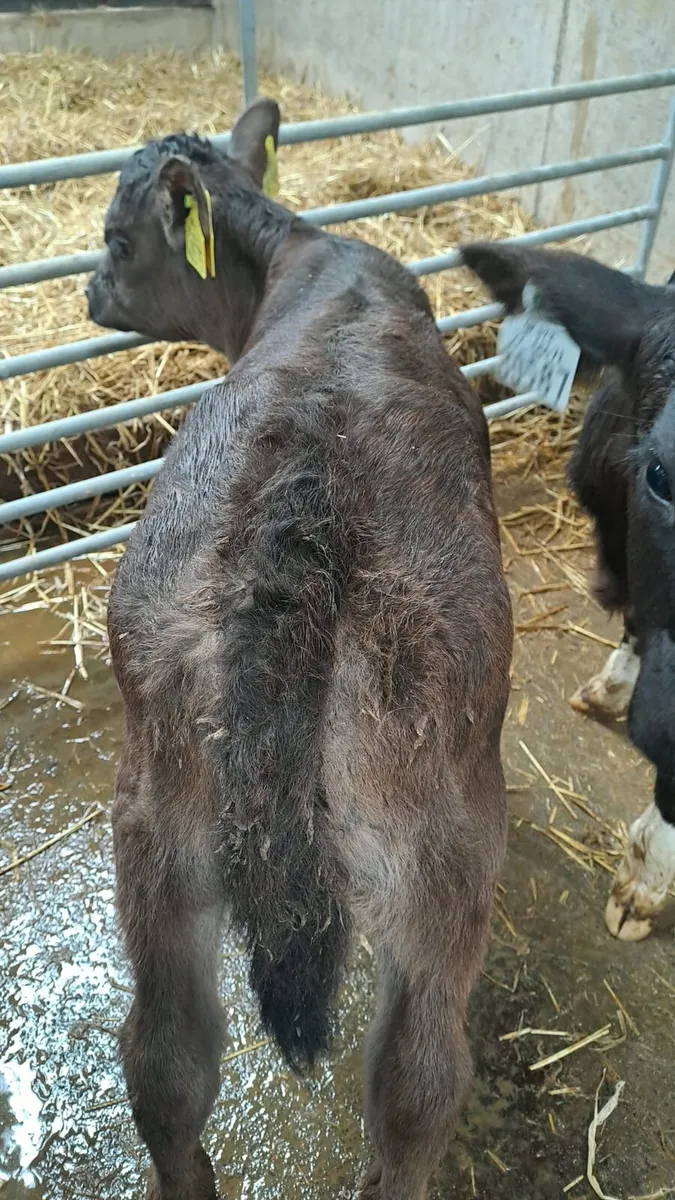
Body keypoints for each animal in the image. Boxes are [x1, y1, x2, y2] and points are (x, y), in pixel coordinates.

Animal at [85, 97, 513, 1200]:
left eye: (116, 240)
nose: (90, 290)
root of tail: (300, 493)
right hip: (450, 840)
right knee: (419, 1084)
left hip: (154, 822)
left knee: (167, 1062)